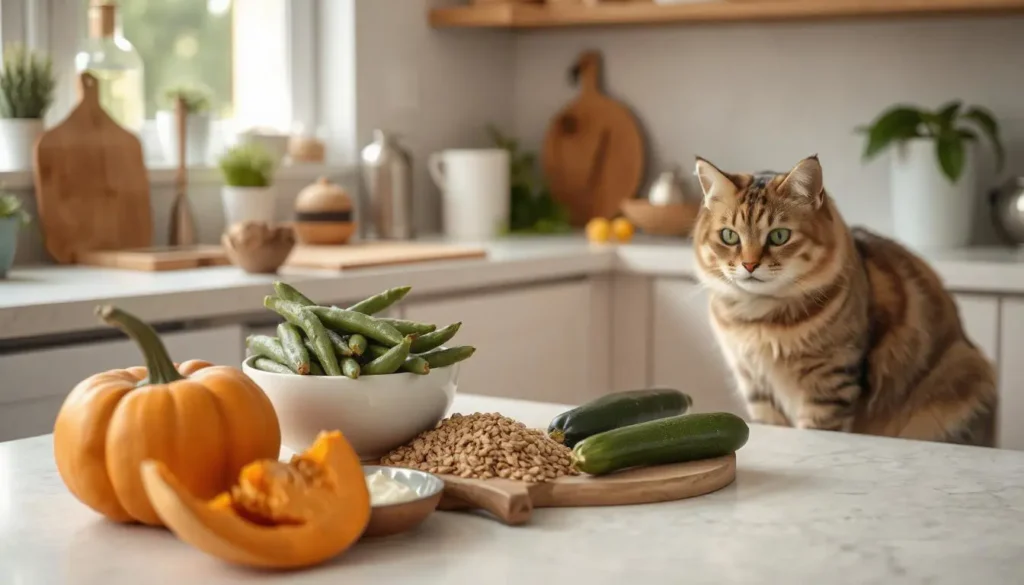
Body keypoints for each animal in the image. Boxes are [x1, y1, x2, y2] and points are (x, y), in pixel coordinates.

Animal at [692, 153, 995, 446]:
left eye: (779, 236)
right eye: (729, 236)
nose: (749, 265)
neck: (760, 319)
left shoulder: (830, 383)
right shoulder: (755, 385)